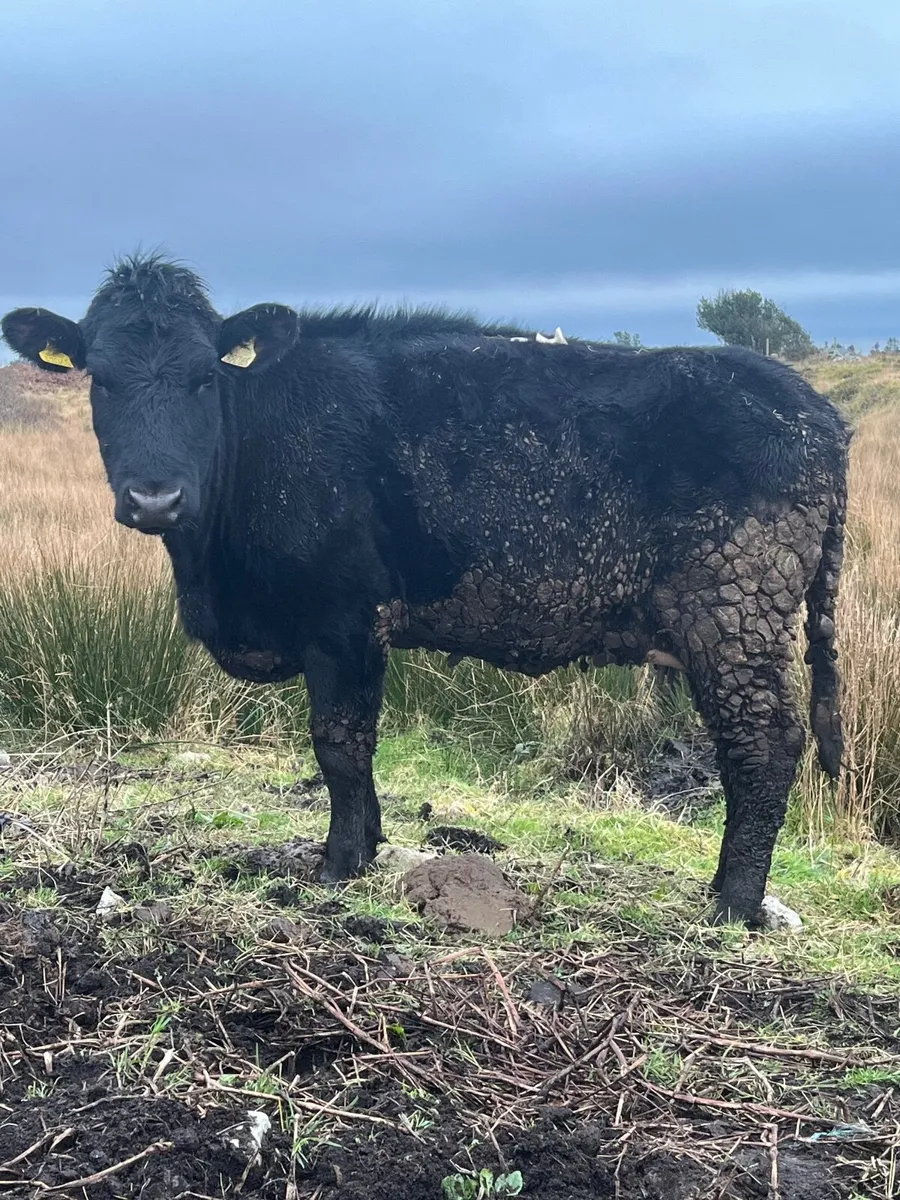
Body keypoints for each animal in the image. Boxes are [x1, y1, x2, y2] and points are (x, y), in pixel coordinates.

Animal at [2, 253, 849, 926]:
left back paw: (732, 902)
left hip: (734, 608)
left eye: (205, 378)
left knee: (766, 742)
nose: (154, 498)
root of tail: (813, 408)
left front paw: (340, 862)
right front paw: (372, 842)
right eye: (101, 380)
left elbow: (339, 743)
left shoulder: (343, 617)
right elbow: (355, 751)